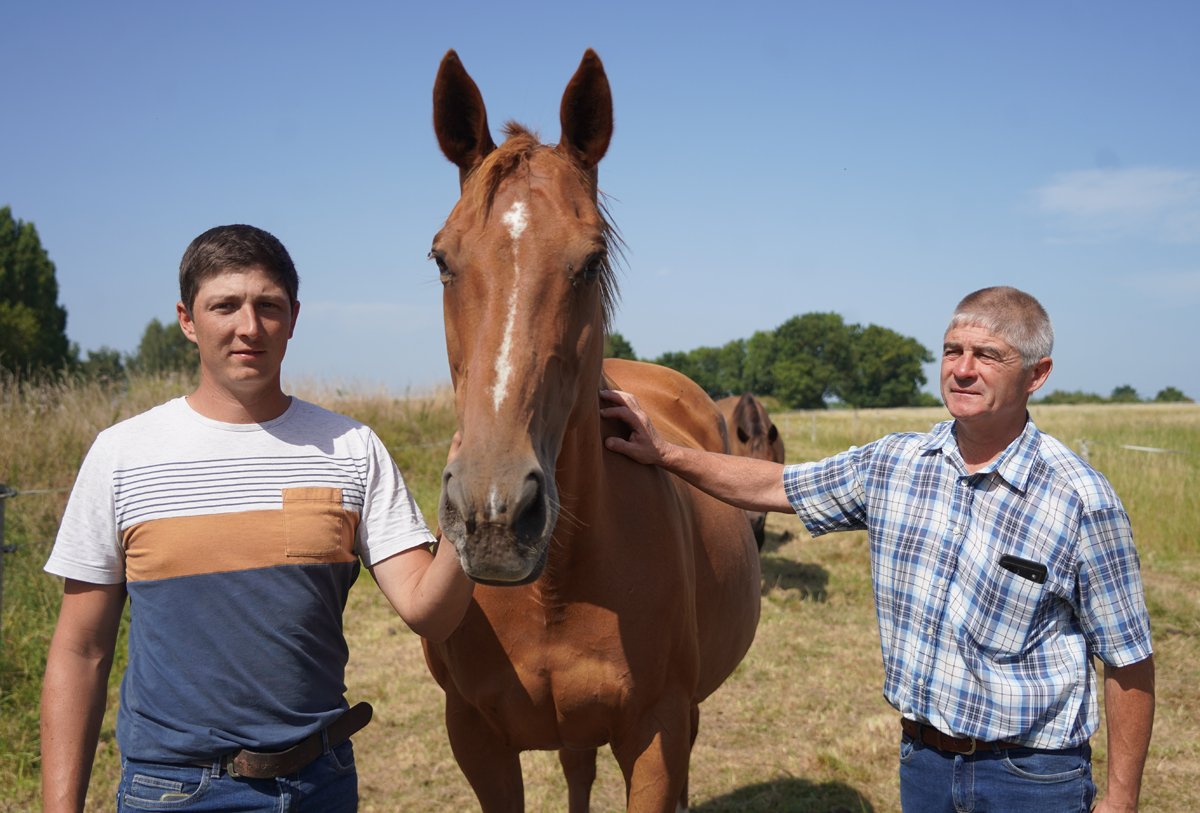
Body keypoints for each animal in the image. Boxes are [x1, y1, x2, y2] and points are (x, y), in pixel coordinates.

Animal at [422, 49, 762, 812]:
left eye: (593, 258)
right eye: (441, 258)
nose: (493, 514)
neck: (552, 588)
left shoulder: (658, 733)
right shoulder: (473, 737)